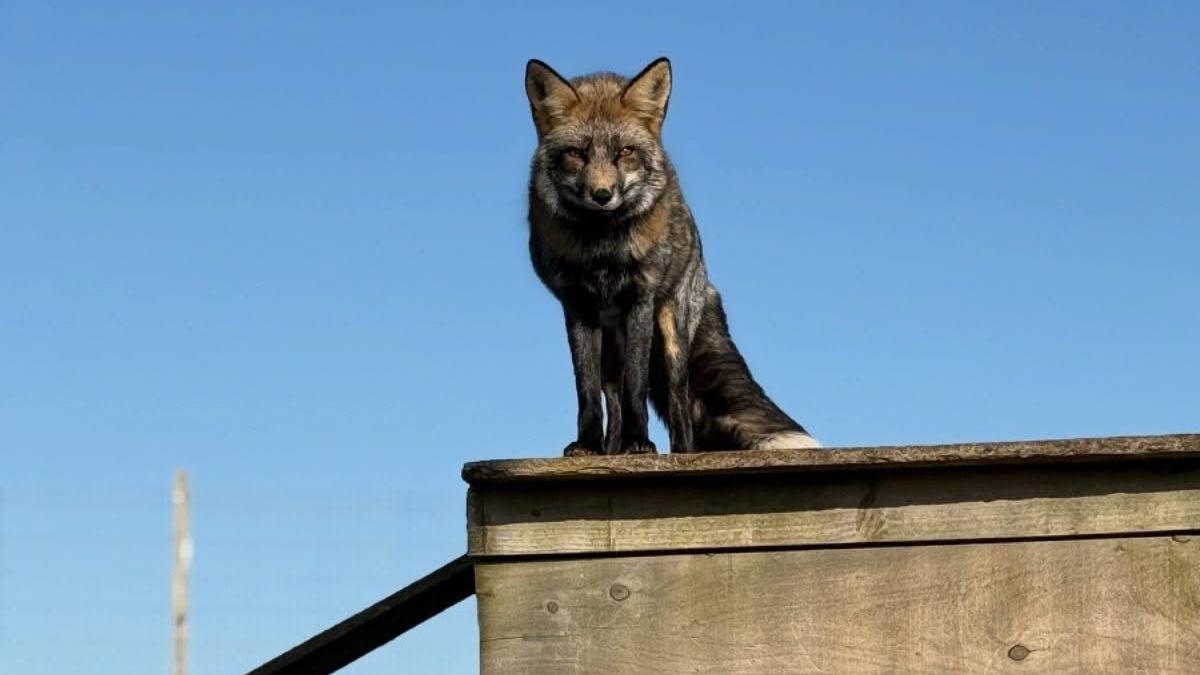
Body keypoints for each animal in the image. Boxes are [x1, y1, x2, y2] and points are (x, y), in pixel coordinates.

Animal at [524, 57, 819, 456]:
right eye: (576, 154)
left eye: (625, 152)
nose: (602, 195)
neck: (603, 251)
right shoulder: (578, 308)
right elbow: (587, 394)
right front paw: (588, 445)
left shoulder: (640, 299)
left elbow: (636, 389)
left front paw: (639, 443)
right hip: (611, 350)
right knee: (613, 400)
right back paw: (612, 449)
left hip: (671, 336)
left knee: (679, 400)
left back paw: (680, 452)